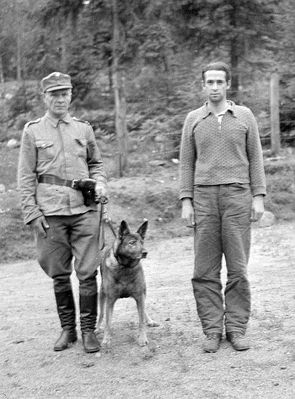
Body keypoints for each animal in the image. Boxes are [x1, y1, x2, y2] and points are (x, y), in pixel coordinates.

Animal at [97, 220, 158, 348]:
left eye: (142, 242)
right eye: (132, 243)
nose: (145, 252)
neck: (125, 267)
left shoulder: (139, 296)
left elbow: (141, 321)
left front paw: (142, 338)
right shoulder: (110, 300)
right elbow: (108, 322)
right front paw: (106, 339)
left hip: (144, 292)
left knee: (144, 310)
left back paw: (149, 320)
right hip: (102, 294)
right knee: (101, 313)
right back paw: (98, 327)